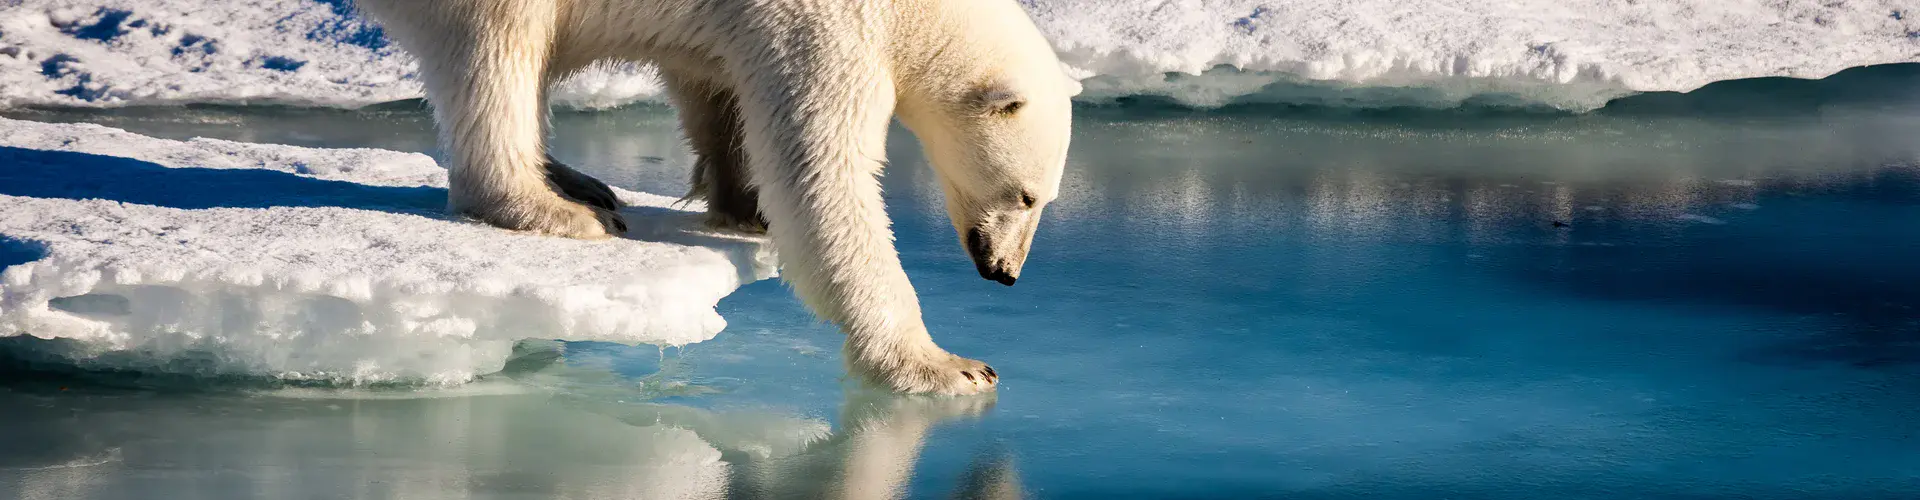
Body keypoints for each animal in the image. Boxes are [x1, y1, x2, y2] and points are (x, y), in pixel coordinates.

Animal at [355, 0, 1090, 394]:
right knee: (499, 43)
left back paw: (573, 180)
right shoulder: (823, 24)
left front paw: (744, 206)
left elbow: (713, 88)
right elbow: (821, 173)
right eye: (1027, 196)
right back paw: (556, 207)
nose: (1005, 272)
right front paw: (948, 366)